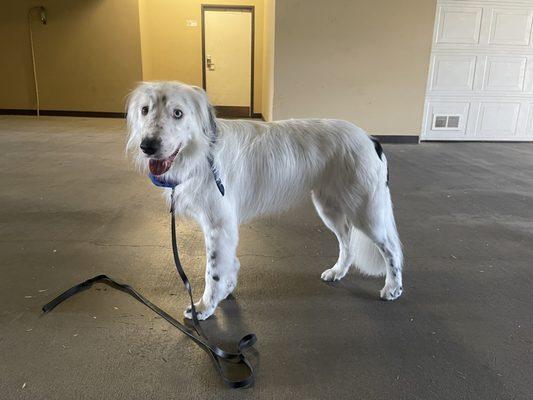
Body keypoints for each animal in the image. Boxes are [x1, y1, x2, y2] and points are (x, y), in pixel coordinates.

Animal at [125, 81, 404, 318]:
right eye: (145, 110)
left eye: (178, 113)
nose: (147, 145)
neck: (202, 152)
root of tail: (370, 139)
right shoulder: (224, 228)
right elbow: (228, 263)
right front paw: (227, 289)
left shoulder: (218, 225)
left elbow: (212, 272)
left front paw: (205, 307)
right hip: (330, 207)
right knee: (346, 242)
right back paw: (337, 272)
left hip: (366, 211)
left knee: (391, 249)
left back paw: (393, 288)